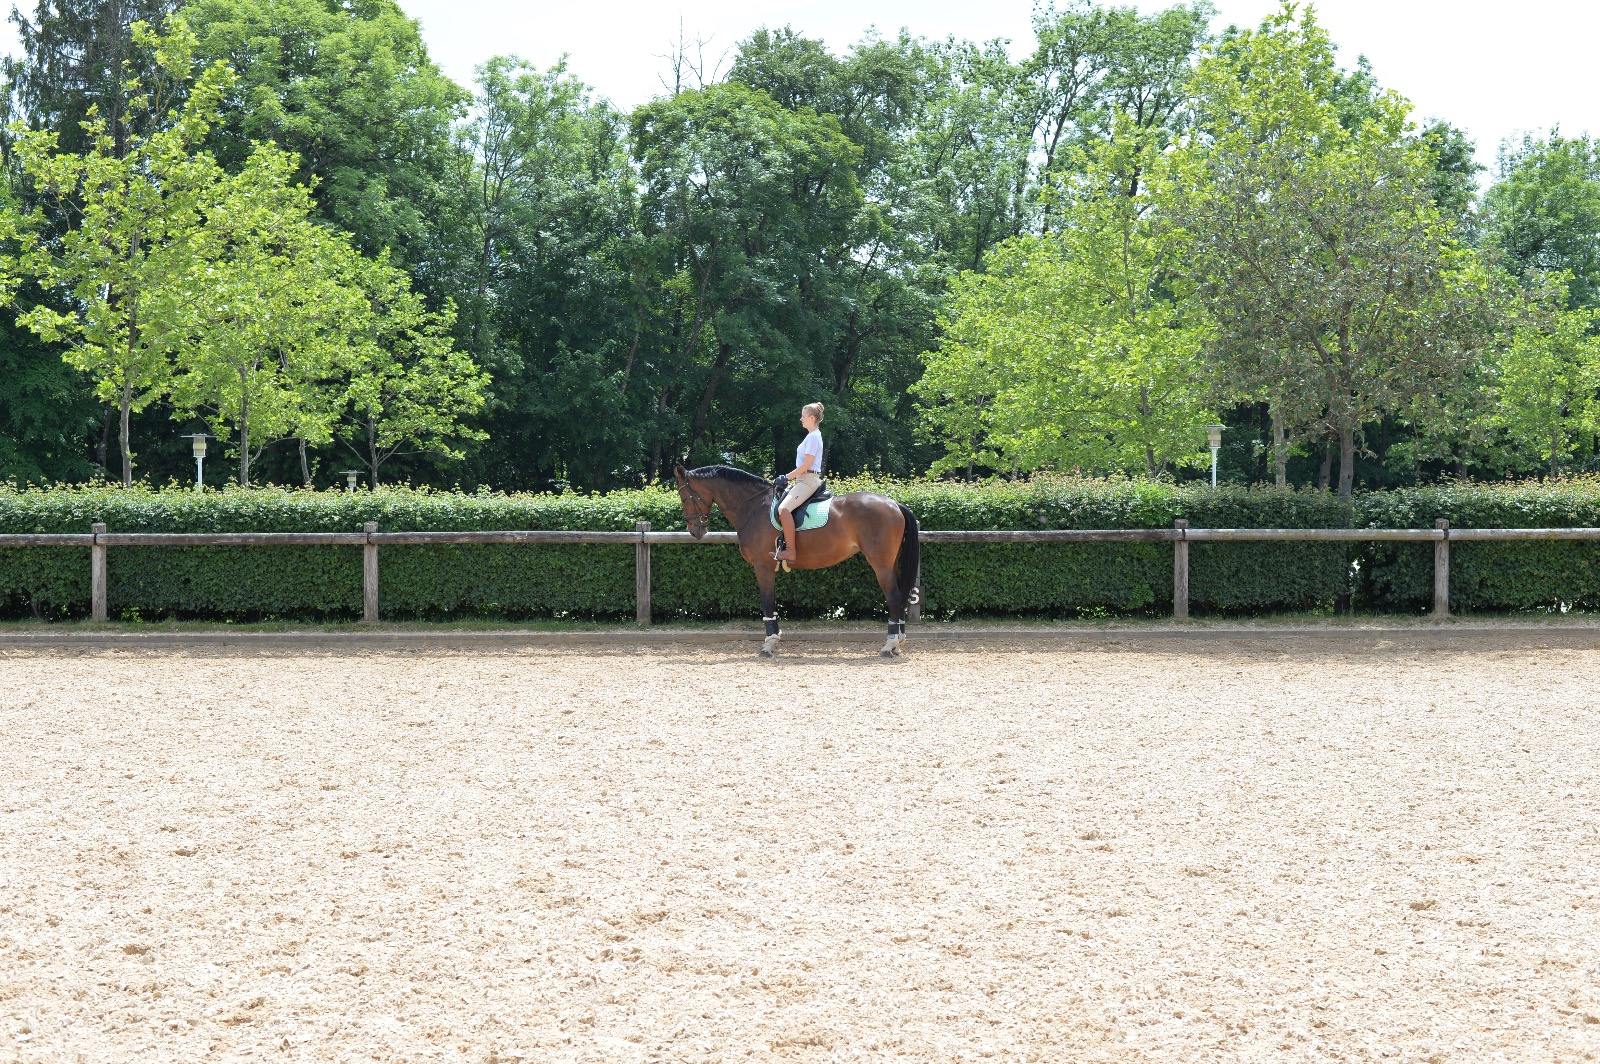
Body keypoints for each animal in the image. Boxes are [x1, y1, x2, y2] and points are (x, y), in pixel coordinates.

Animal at [672, 464, 921, 656]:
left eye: (684, 497)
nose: (695, 530)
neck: (754, 507)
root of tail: (894, 504)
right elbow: (771, 603)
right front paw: (774, 639)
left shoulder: (762, 567)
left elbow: (767, 602)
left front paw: (769, 644)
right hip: (891, 562)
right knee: (899, 595)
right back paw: (898, 642)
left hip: (881, 564)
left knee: (893, 596)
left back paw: (889, 645)